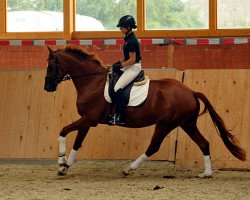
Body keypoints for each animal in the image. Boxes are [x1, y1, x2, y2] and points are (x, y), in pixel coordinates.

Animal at [44, 45, 245, 178]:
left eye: (51, 65)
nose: (47, 87)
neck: (92, 82)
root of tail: (190, 91)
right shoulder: (87, 120)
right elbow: (77, 142)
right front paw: (65, 166)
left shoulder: (89, 119)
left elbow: (63, 130)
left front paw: (61, 160)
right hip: (187, 124)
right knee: (204, 143)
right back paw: (207, 173)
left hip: (165, 124)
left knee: (154, 146)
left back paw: (129, 169)